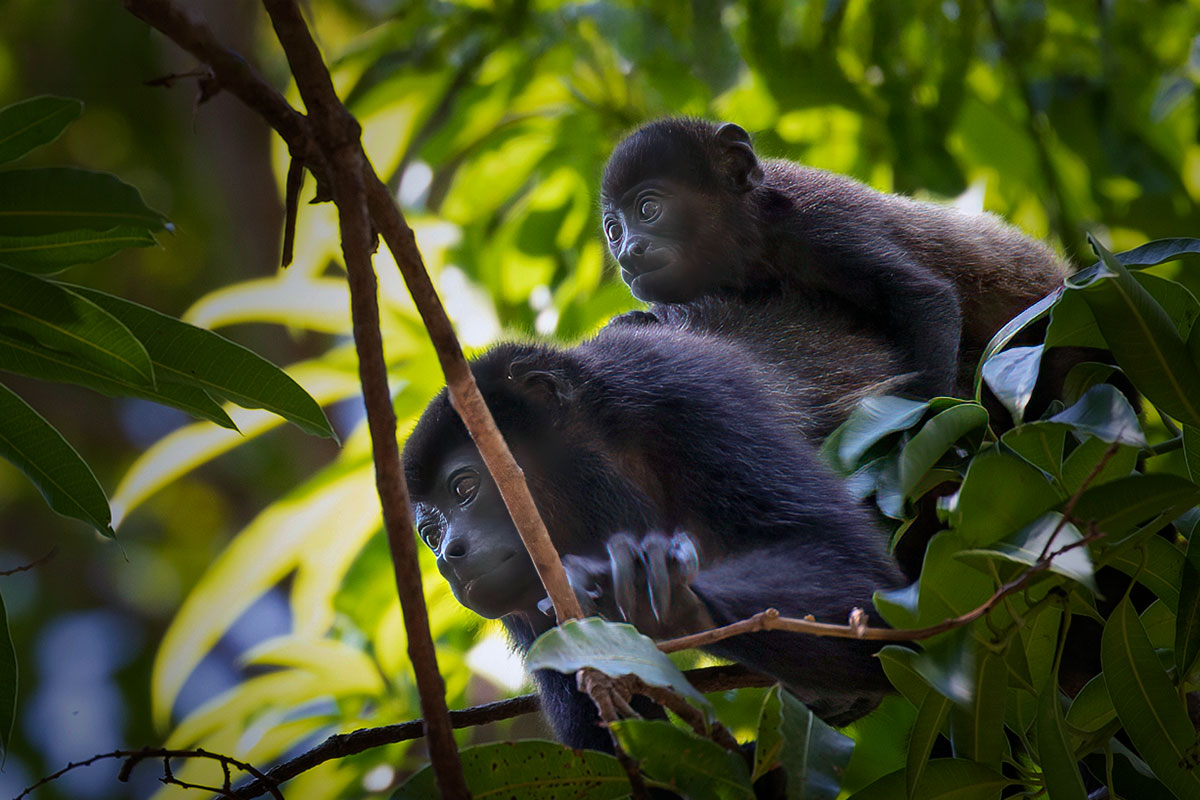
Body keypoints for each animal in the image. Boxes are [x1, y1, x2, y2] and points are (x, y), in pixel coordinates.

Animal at [401, 319, 907, 752]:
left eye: (464, 487)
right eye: (430, 534)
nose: (449, 557)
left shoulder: (690, 394)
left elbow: (861, 578)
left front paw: (652, 592)